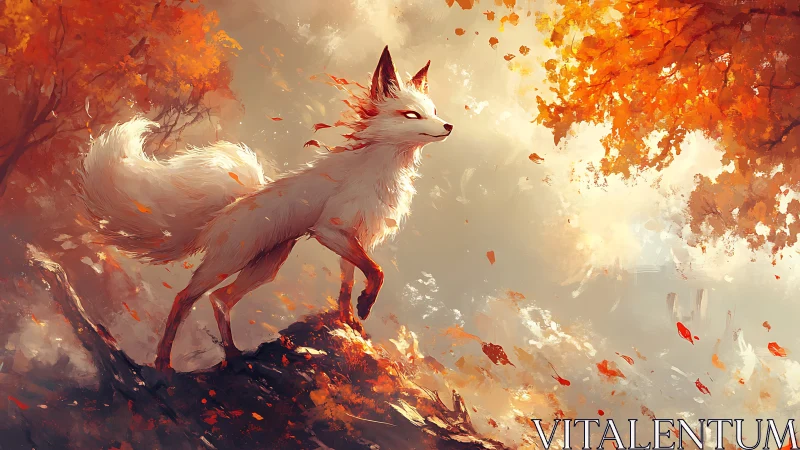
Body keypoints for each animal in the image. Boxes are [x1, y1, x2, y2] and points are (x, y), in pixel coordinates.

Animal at [79, 46, 453, 371]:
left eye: (434, 112)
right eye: (411, 115)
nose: (449, 126)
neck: (380, 170)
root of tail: (224, 211)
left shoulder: (354, 236)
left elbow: (347, 286)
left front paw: (350, 321)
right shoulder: (330, 230)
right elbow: (377, 271)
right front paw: (365, 306)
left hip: (266, 266)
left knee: (220, 300)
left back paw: (233, 356)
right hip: (230, 262)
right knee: (185, 298)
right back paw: (164, 364)